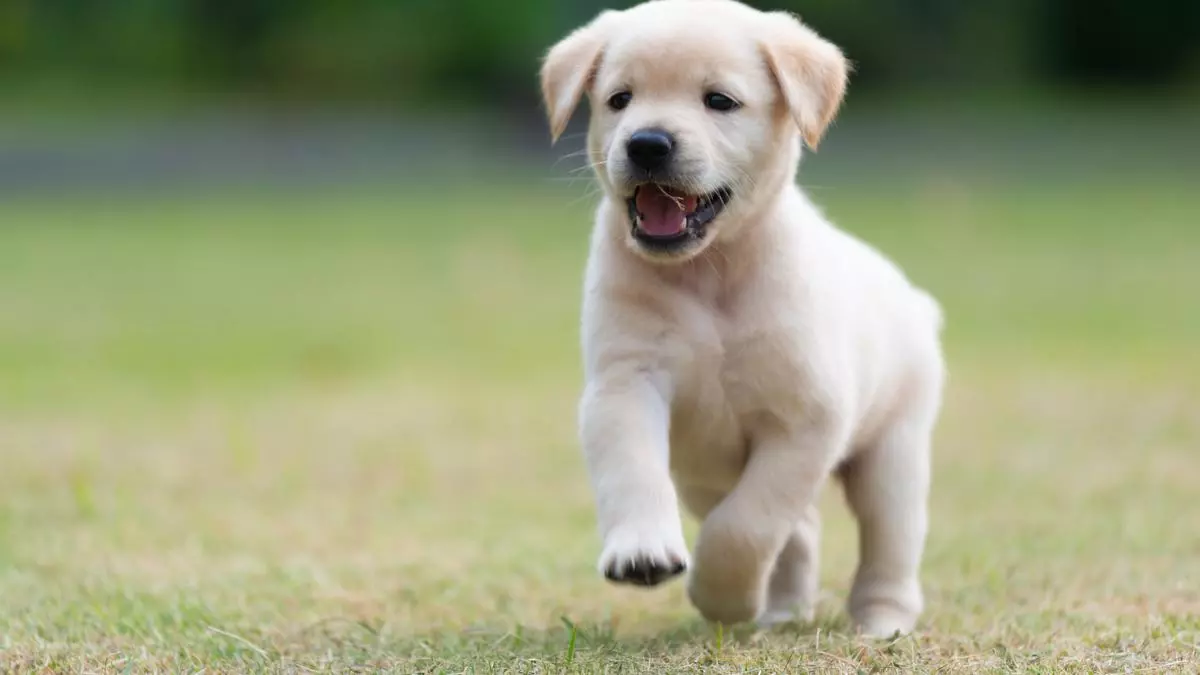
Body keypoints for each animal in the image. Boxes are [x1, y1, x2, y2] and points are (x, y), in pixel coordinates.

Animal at [544, 0, 945, 634]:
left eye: (720, 101)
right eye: (619, 99)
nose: (647, 143)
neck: (711, 272)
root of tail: (914, 301)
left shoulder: (806, 421)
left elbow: (747, 524)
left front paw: (722, 595)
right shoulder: (625, 384)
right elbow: (632, 471)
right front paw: (643, 551)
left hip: (894, 453)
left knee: (888, 543)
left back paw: (882, 621)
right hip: (701, 475)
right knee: (800, 530)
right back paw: (783, 609)